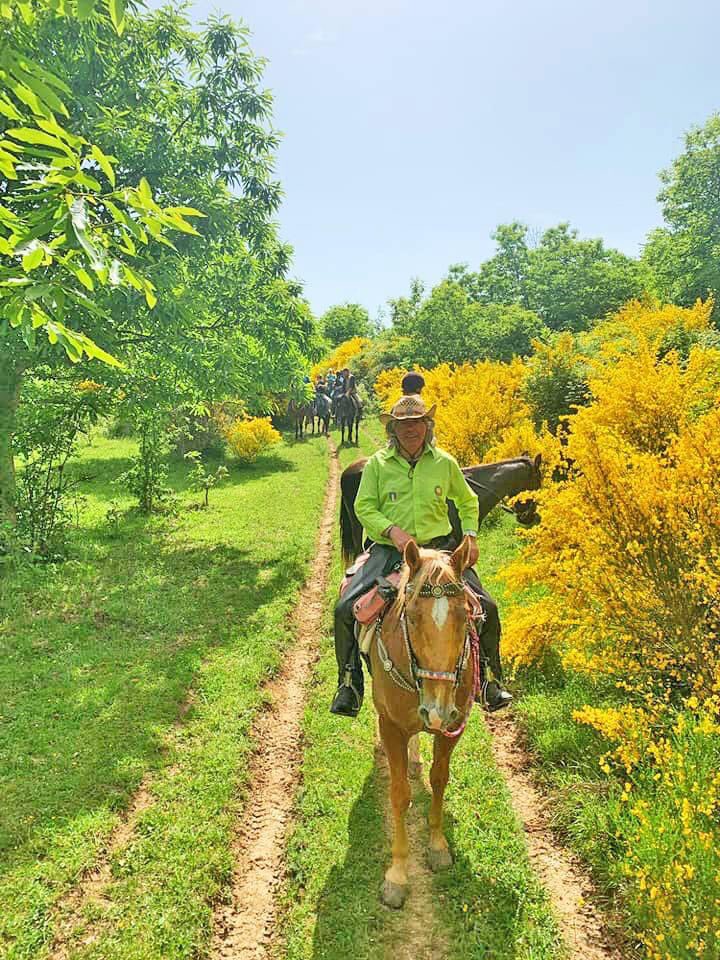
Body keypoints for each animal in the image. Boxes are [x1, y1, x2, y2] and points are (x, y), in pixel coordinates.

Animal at [362, 537, 477, 908]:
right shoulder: (391, 726)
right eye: (411, 618)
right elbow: (399, 794)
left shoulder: (454, 726)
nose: (437, 710)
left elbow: (439, 779)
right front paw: (397, 874)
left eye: (465, 615)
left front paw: (438, 845)